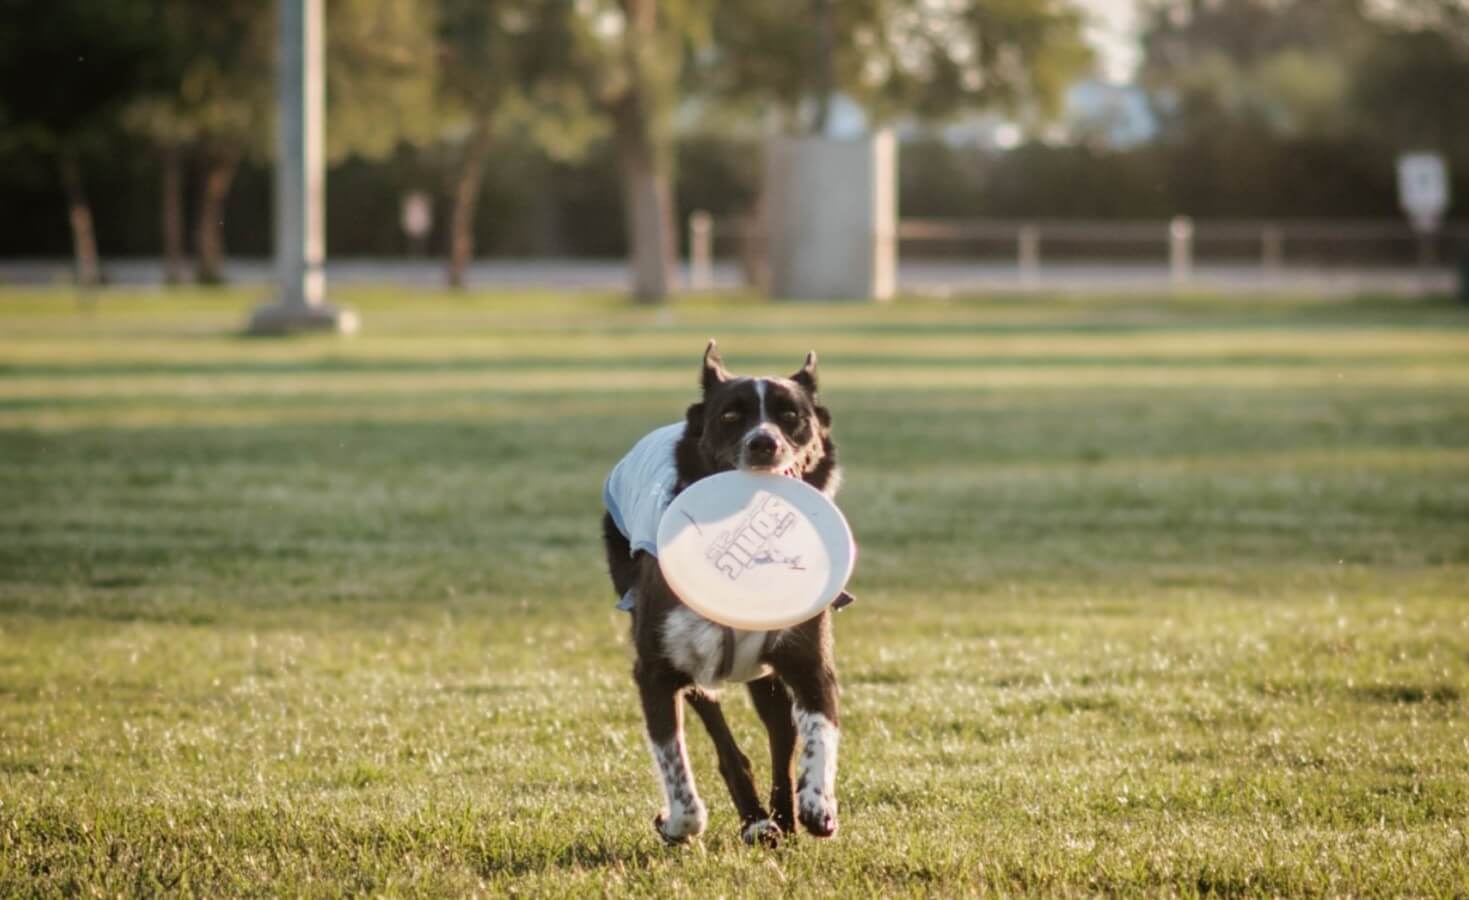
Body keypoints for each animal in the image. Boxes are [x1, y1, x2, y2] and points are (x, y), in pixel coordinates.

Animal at [599, 340, 852, 845]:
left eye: (792, 416)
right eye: (731, 416)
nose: (764, 443)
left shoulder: (806, 659)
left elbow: (818, 730)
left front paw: (817, 805)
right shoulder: (656, 669)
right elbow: (676, 767)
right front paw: (675, 823)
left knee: (780, 731)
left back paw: (779, 819)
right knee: (722, 734)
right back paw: (756, 820)